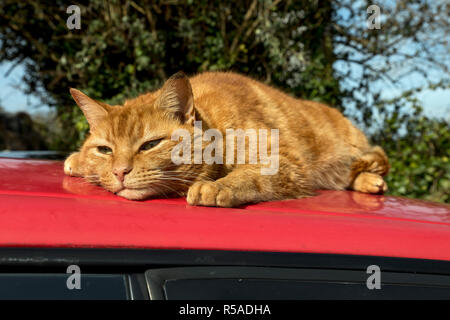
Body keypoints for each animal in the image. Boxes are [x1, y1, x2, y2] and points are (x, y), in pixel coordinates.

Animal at [64, 72, 390, 208]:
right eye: (104, 149)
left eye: (150, 145)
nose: (120, 172)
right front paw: (78, 161)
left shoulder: (284, 164)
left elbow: (250, 176)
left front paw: (217, 187)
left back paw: (371, 180)